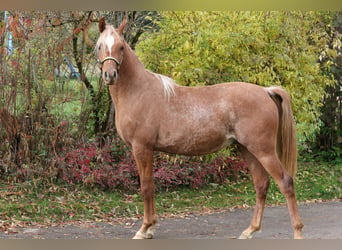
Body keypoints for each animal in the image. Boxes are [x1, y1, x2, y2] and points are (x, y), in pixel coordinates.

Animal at [95, 16, 304, 239]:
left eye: (121, 46)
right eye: (99, 46)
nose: (110, 75)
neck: (138, 91)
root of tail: (266, 91)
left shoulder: (142, 148)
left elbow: (146, 187)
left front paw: (144, 229)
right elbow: (149, 186)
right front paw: (150, 228)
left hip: (264, 151)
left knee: (285, 183)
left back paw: (297, 232)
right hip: (247, 149)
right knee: (261, 185)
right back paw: (250, 230)